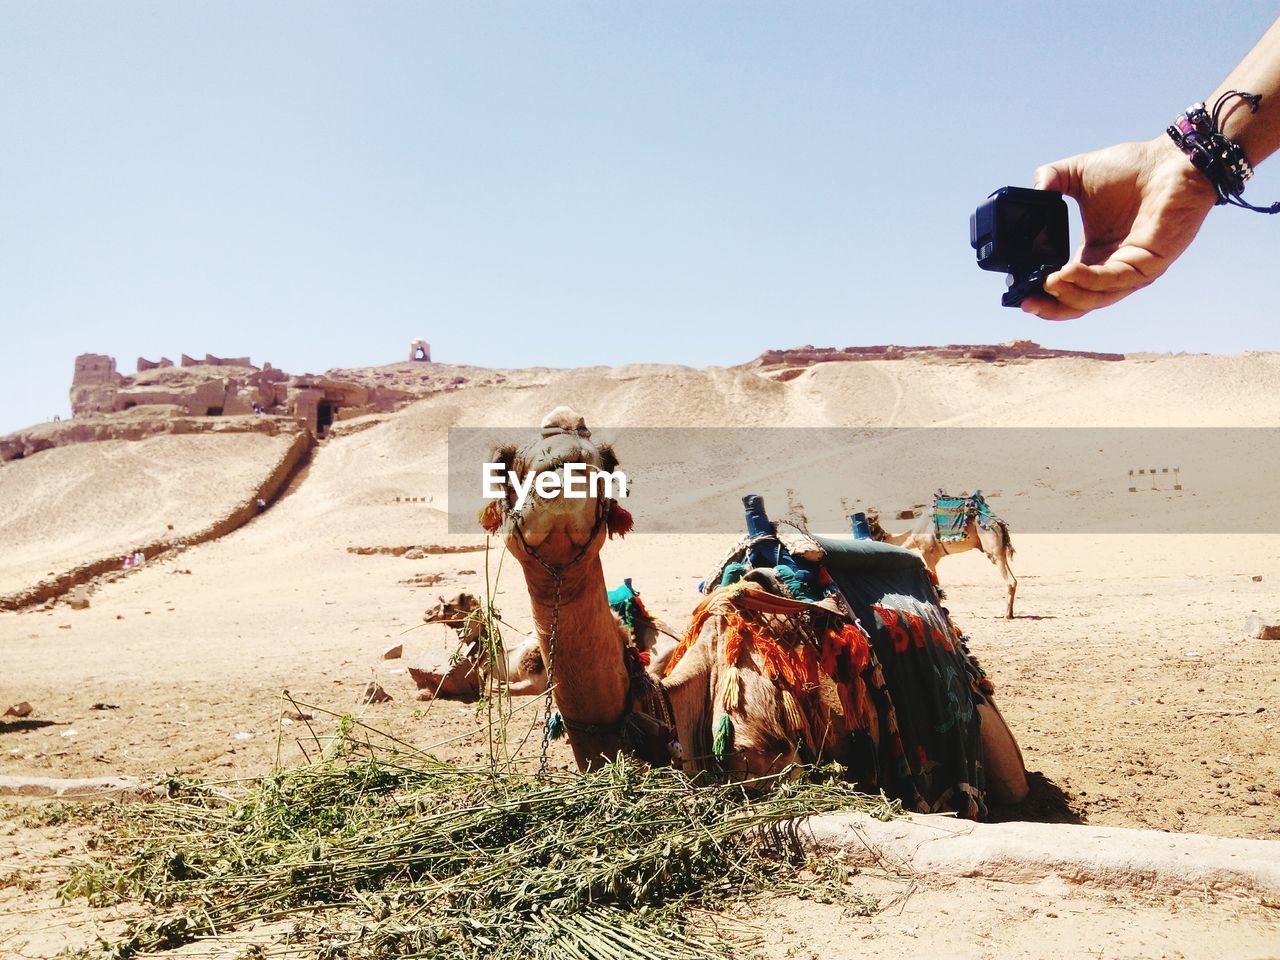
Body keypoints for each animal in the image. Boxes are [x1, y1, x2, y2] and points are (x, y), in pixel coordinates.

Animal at [870, 496, 1018, 624]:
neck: (913, 536)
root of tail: (999, 523)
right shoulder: (936, 557)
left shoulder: (927, 553)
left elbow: (935, 586)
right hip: (1000, 552)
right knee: (1014, 580)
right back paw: (1011, 614)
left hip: (993, 550)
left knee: (1009, 581)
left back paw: (1006, 615)